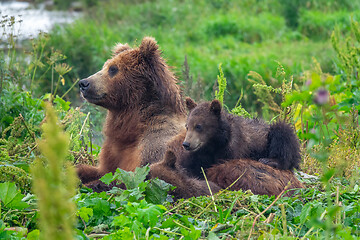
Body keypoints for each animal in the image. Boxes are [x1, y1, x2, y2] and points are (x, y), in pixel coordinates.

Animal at [77, 37, 187, 184]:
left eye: (113, 69)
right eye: (105, 66)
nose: (83, 83)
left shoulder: (153, 149)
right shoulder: (113, 151)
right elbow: (103, 171)